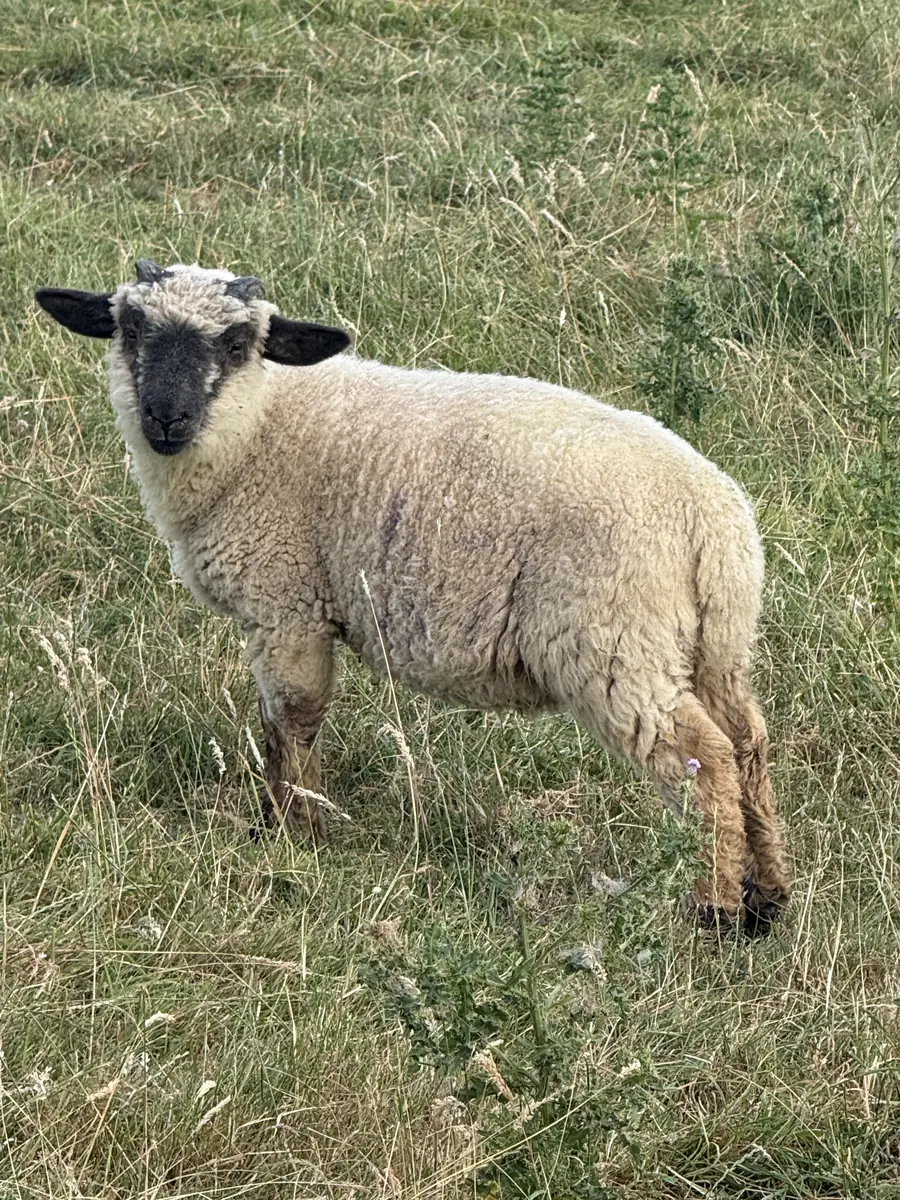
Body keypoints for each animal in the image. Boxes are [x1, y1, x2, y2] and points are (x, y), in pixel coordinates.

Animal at [35, 260, 791, 934]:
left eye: (237, 343)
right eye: (131, 327)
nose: (167, 417)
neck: (262, 426)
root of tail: (708, 518)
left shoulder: (287, 604)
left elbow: (291, 722)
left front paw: (291, 831)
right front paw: (286, 824)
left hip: (613, 643)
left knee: (704, 758)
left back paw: (716, 909)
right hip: (714, 645)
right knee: (748, 743)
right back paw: (768, 898)